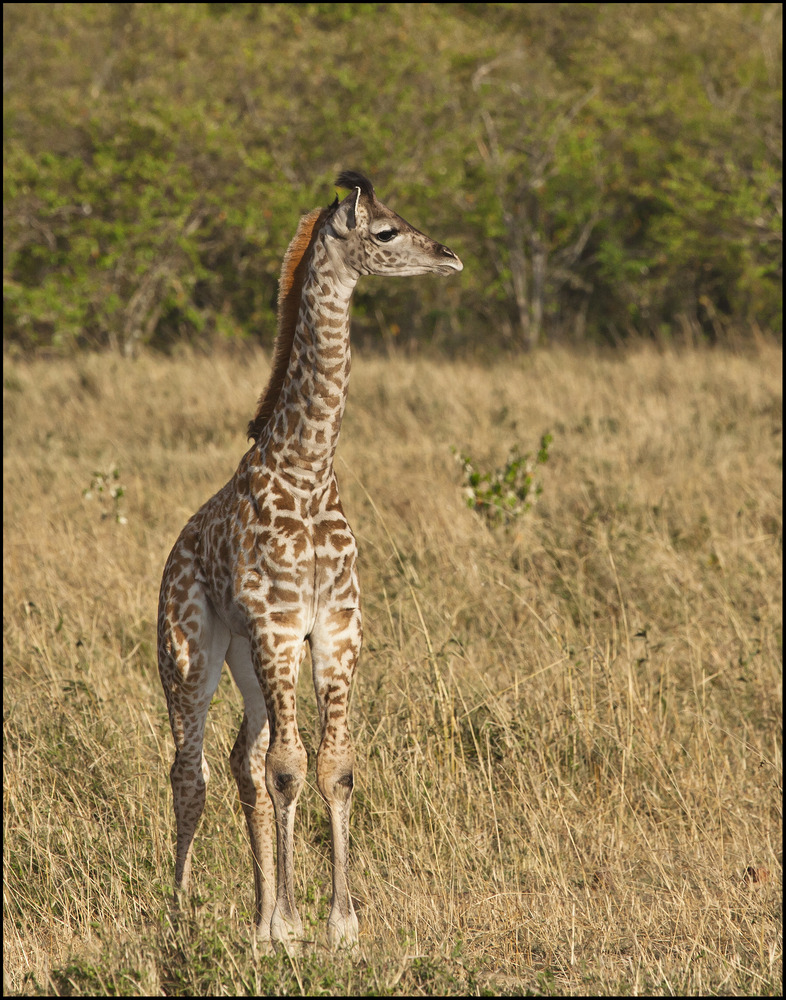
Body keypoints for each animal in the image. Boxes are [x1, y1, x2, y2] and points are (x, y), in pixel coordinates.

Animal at [157, 172, 462, 944]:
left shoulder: (333, 628)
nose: (448, 257)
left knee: (242, 760)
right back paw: (181, 916)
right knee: (190, 771)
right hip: (190, 652)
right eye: (385, 231)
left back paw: (260, 914)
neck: (310, 469)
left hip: (250, 659)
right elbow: (290, 768)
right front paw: (295, 923)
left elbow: (333, 767)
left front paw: (334, 923)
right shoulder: (276, 624)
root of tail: (173, 553)